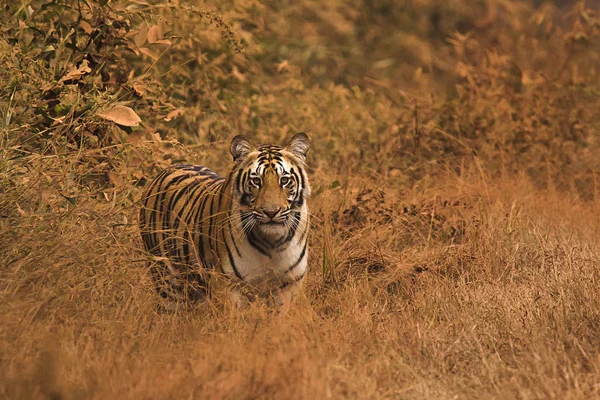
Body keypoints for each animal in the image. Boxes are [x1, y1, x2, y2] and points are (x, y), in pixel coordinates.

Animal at [139, 133, 312, 308]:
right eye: (256, 181)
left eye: (284, 180)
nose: (271, 211)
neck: (272, 243)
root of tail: (167, 169)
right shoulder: (228, 284)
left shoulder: (290, 284)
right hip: (167, 279)